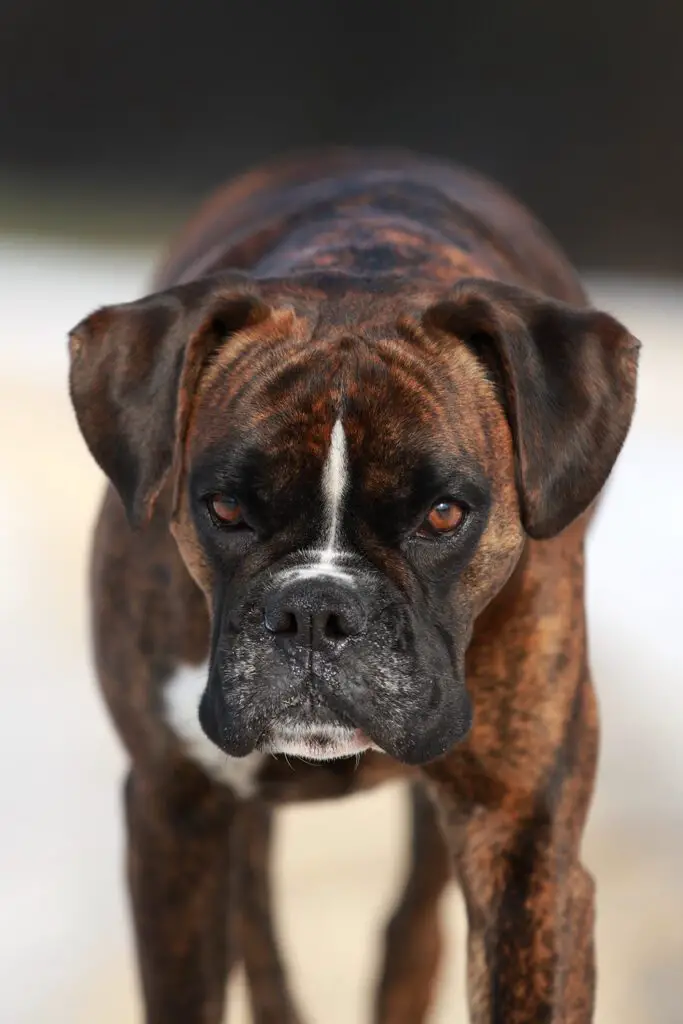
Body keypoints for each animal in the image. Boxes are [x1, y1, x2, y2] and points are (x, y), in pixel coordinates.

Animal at [69, 146, 643, 1024]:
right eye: (225, 507)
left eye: (443, 514)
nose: (316, 611)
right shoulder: (175, 810)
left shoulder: (523, 843)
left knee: (410, 931)